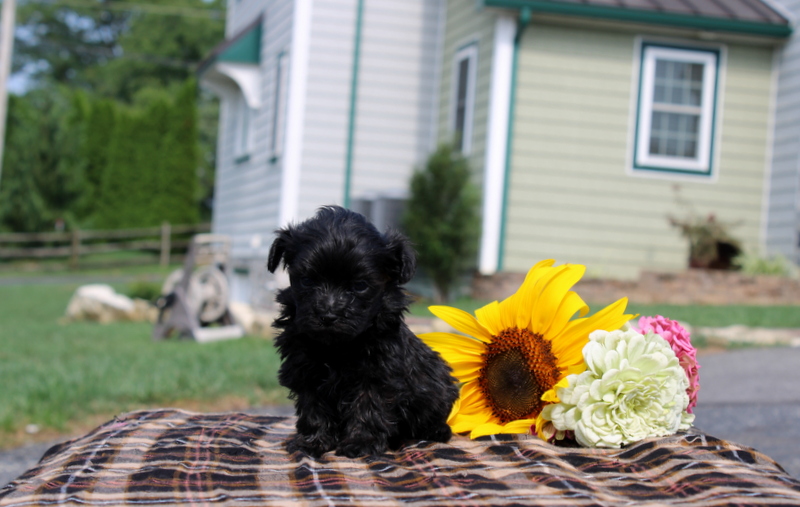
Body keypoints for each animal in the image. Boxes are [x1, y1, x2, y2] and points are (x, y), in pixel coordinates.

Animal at [268, 206, 456, 460]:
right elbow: (313, 408)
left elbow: (368, 406)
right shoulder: (305, 370)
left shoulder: (378, 373)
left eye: (359, 286)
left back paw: (436, 431)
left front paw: (360, 443)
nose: (328, 314)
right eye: (306, 281)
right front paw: (312, 442)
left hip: (438, 384)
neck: (336, 346)